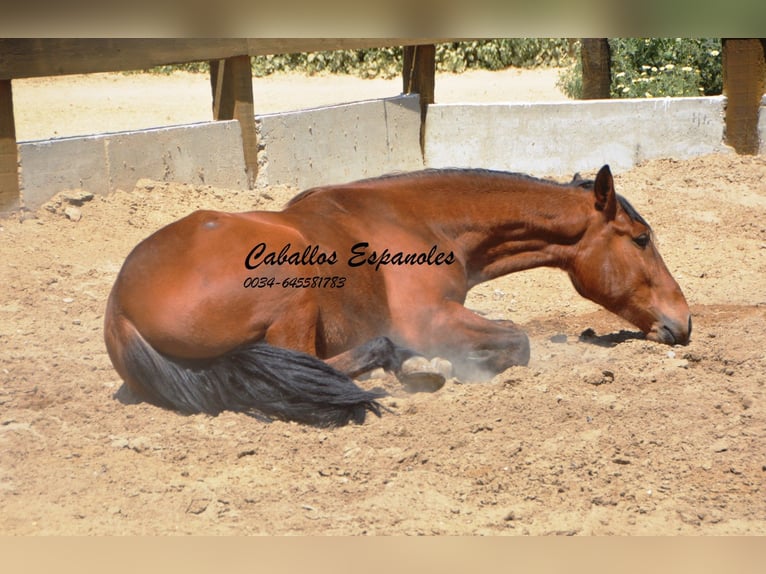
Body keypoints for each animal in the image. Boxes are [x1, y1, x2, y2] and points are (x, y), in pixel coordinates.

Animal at [105, 165, 692, 428]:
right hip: (293, 292)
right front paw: (452, 365)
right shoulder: (428, 318)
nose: (683, 322)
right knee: (319, 363)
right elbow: (516, 341)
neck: (417, 220)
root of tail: (121, 309)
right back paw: (414, 370)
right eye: (641, 239)